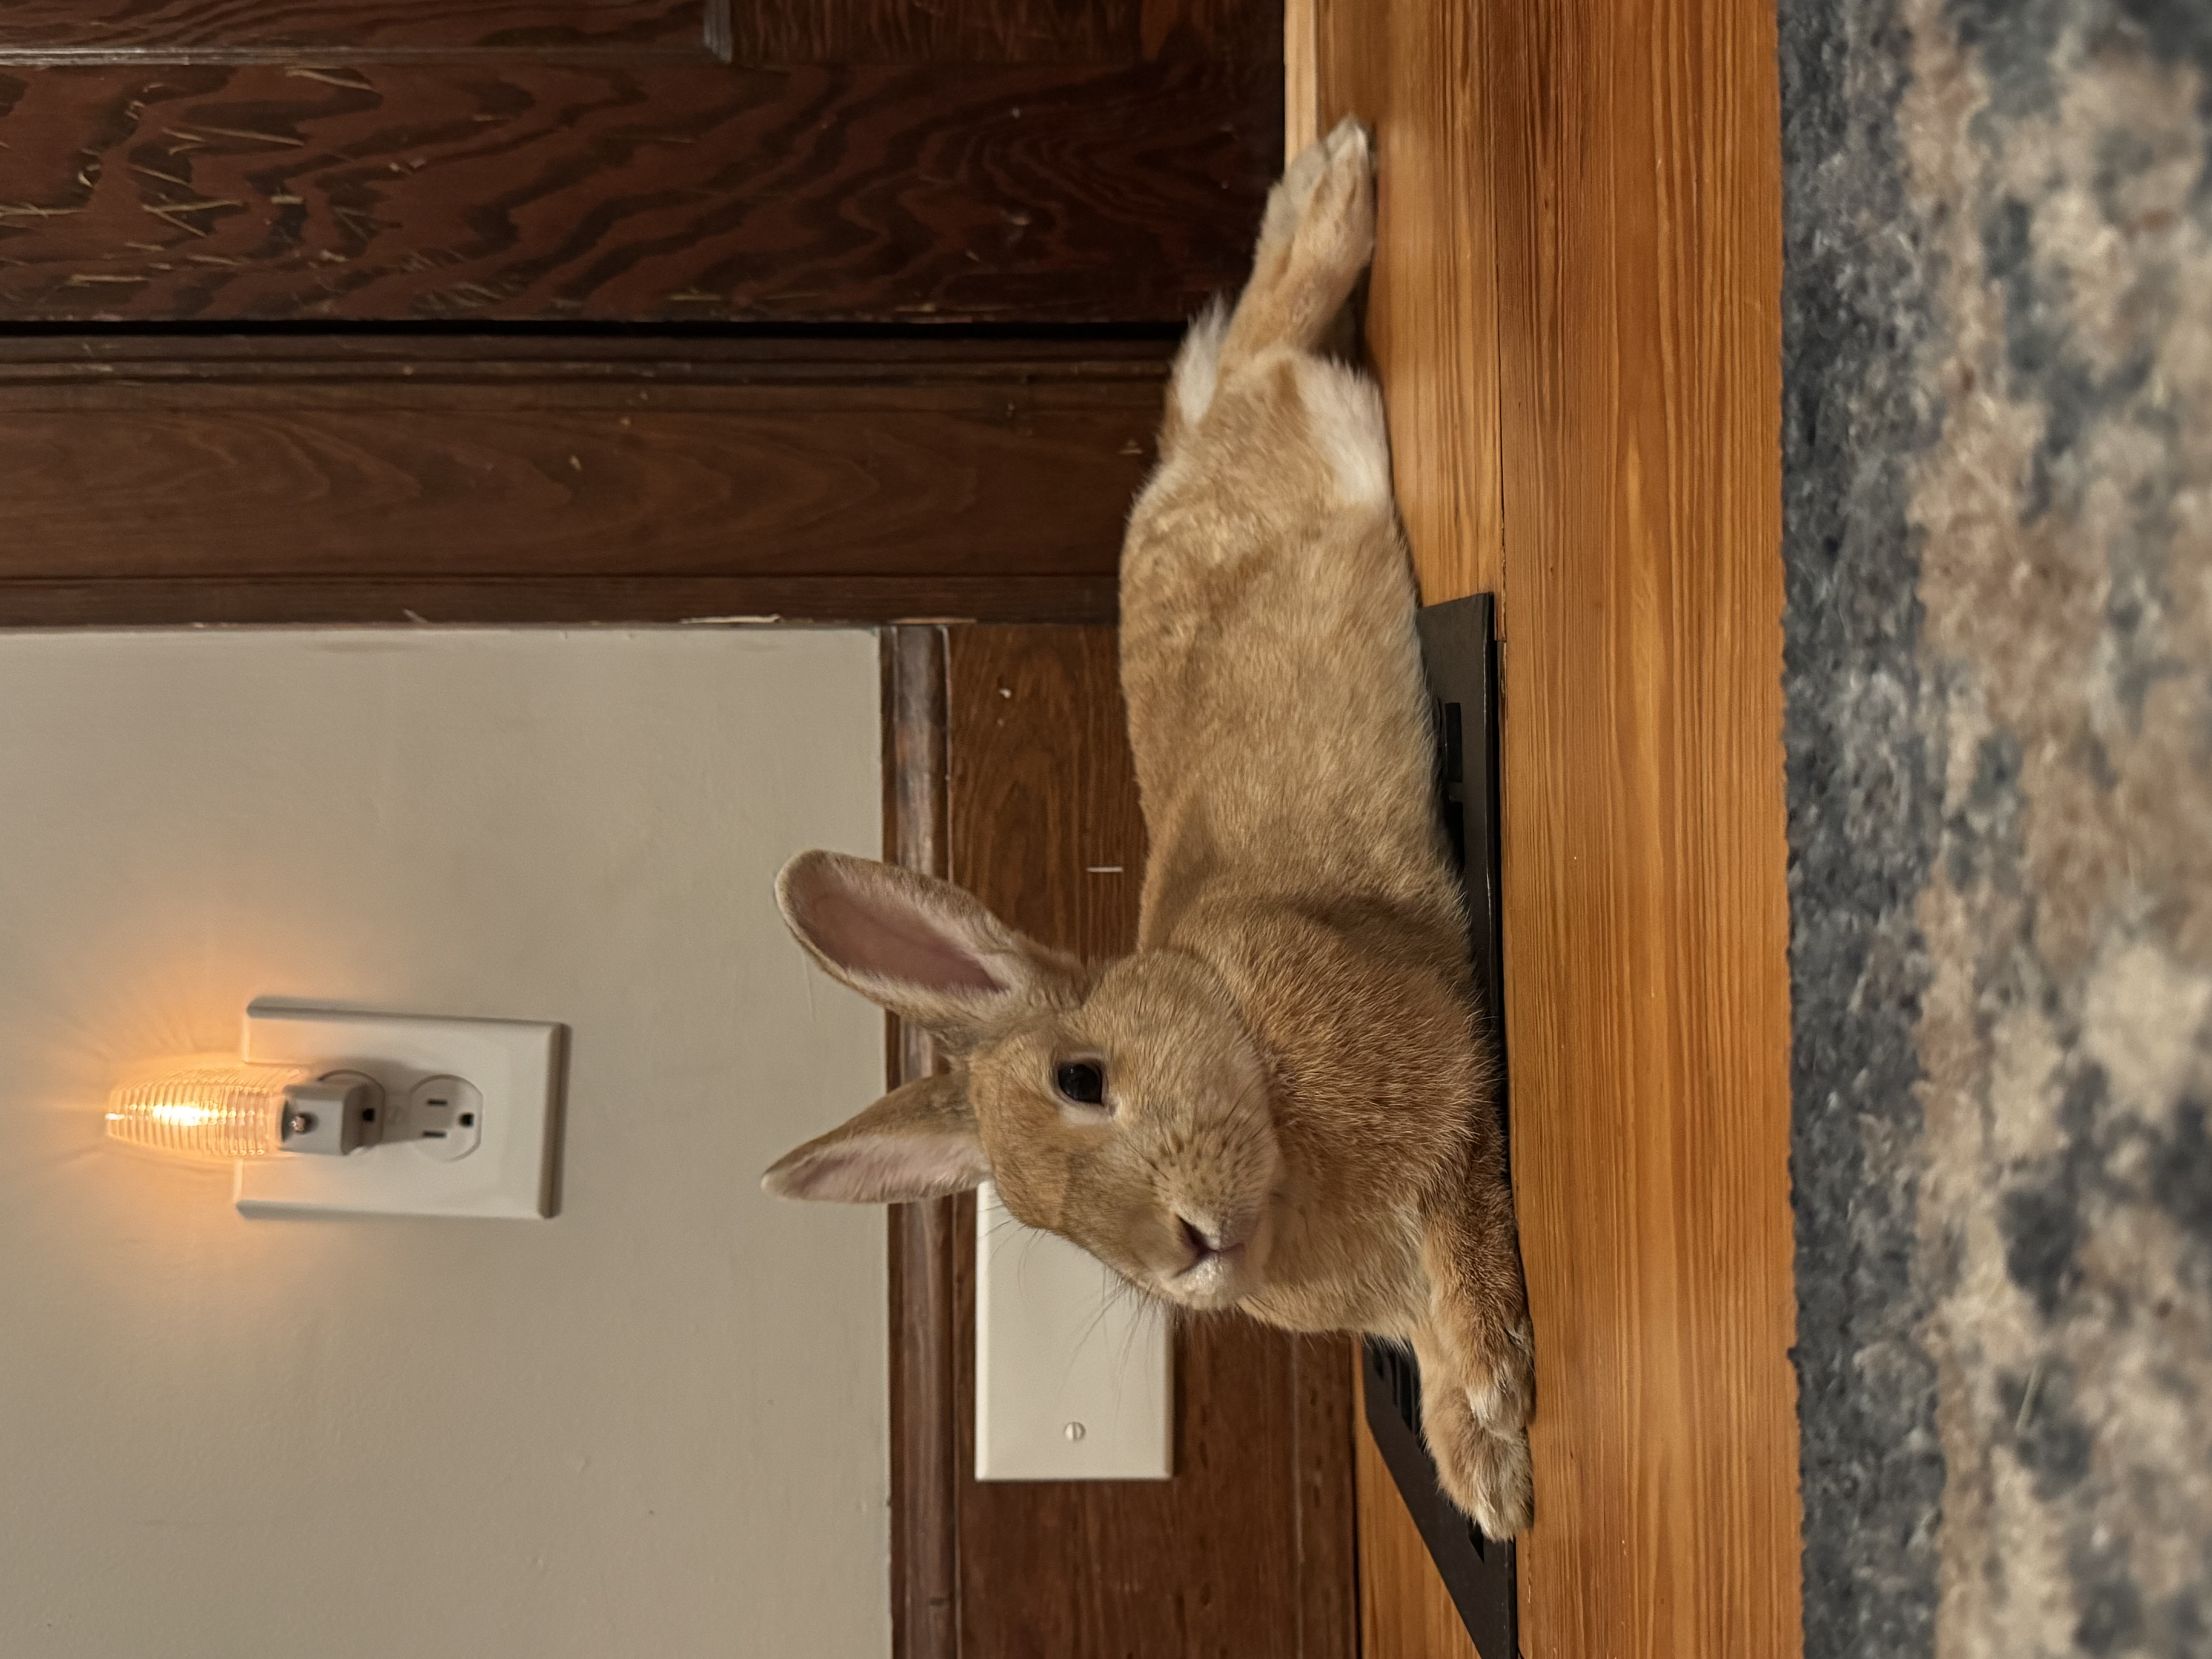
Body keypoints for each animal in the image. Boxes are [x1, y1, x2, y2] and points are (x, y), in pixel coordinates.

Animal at [761, 117, 1535, 1539]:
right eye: (1043, 1224)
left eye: (1084, 1078)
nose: (1186, 1252)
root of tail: (1174, 473)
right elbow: (1431, 1327)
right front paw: (1481, 1476)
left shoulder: (1452, 1093)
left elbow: (1468, 1249)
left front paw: (1499, 1438)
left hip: (1306, 429)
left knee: (1271, 343)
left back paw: (1335, 184)